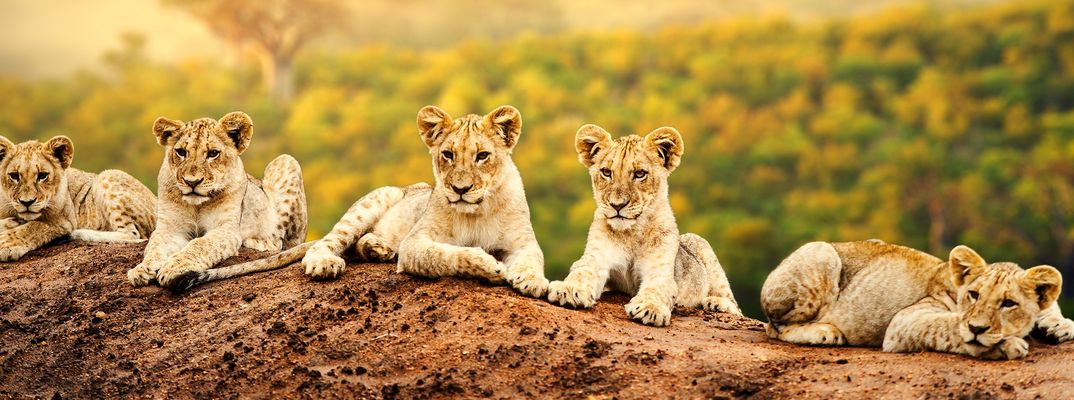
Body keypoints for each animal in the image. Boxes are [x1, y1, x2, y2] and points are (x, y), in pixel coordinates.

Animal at [0, 135, 155, 260]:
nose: (27, 202)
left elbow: (33, 227)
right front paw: (10, 224)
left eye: (42, 175)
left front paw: (6, 244)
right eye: (14, 175)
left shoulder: (63, 220)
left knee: (134, 235)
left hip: (108, 175)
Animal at [125, 112, 310, 292]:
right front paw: (142, 269)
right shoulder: (170, 228)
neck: (197, 205)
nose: (192, 182)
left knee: (282, 243)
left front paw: (174, 267)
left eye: (213, 153)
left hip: (286, 161)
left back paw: (259, 242)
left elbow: (200, 244)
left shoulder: (226, 229)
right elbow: (156, 247)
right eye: (181, 152)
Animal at [301, 105, 549, 298]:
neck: (477, 212)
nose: (460, 189)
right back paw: (324, 262)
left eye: (482, 156)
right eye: (448, 154)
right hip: (371, 204)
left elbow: (533, 258)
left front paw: (533, 281)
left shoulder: (522, 241)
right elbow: (447, 254)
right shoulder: (414, 243)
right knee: (329, 241)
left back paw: (378, 249)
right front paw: (488, 264)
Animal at [545, 124, 741, 327]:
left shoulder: (661, 271)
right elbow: (582, 271)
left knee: (734, 305)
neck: (631, 232)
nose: (617, 205)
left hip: (702, 245)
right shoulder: (596, 258)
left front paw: (649, 309)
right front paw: (568, 290)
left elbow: (655, 289)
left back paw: (716, 303)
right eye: (606, 172)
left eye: (640, 174)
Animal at [761, 240, 1074, 359]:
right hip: (823, 253)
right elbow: (949, 326)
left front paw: (1060, 326)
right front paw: (1004, 345)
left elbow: (1049, 305)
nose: (977, 327)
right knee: (774, 327)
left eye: (1008, 303)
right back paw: (825, 332)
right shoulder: (903, 322)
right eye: (974, 295)